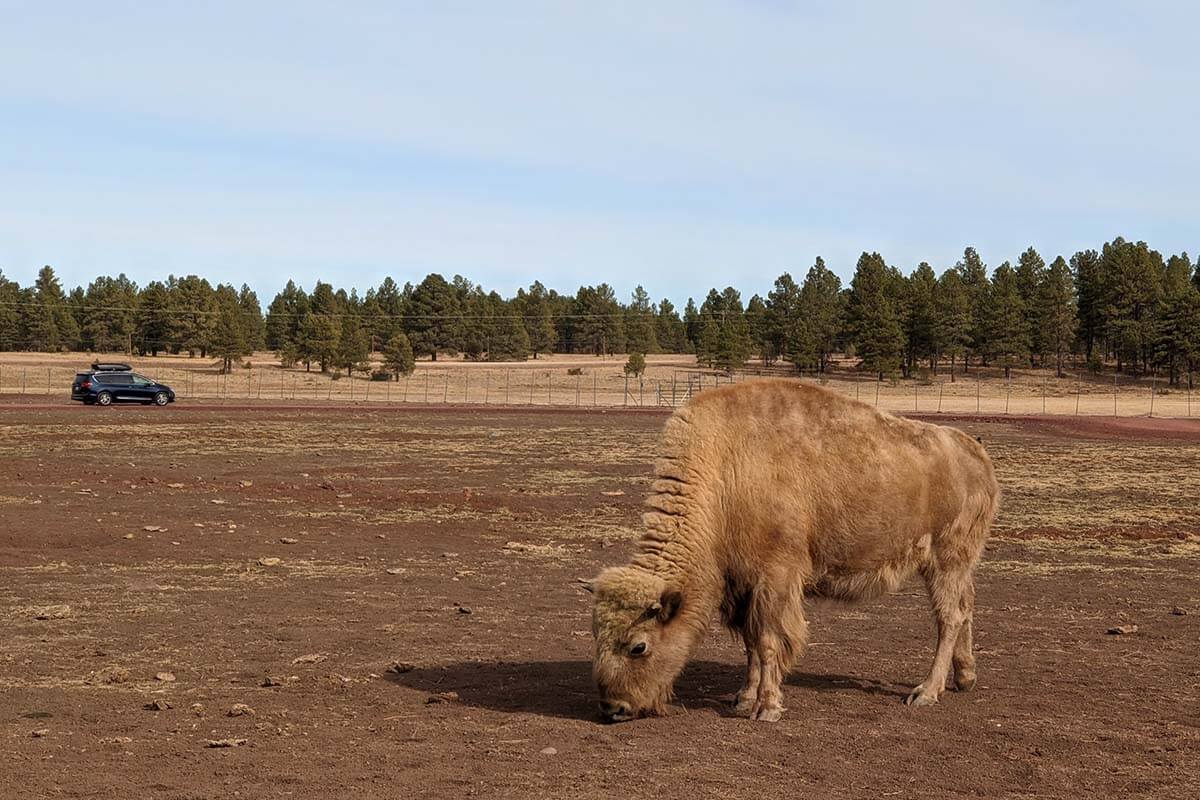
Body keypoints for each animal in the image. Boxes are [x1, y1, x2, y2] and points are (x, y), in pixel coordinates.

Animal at [585, 379, 998, 724]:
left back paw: (925, 692)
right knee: (967, 607)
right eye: (596, 635)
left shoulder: (775, 578)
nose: (613, 708)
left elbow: (769, 642)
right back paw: (965, 677)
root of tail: (975, 452)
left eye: (638, 646)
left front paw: (766, 708)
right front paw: (743, 698)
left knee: (949, 618)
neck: (724, 473)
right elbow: (750, 644)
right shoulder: (743, 587)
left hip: (946, 559)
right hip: (958, 564)